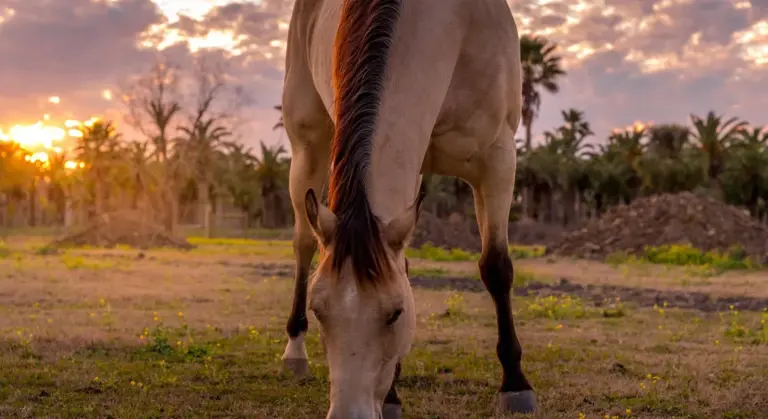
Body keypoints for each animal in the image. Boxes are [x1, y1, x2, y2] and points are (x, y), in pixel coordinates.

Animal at [279, 0, 535, 417]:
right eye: (319, 311)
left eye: (397, 312)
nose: (350, 412)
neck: (452, 27)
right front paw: (392, 396)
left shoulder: (498, 158)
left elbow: (497, 267)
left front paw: (515, 384)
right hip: (307, 148)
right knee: (303, 243)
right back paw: (294, 351)